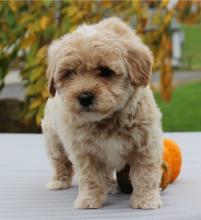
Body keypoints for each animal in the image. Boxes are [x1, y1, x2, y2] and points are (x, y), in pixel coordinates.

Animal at [42, 17, 163, 210]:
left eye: (105, 71)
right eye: (69, 73)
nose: (84, 97)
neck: (107, 120)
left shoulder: (146, 145)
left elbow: (146, 174)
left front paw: (146, 199)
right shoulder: (84, 151)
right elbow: (90, 177)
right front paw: (89, 200)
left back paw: (110, 186)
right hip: (52, 139)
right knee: (60, 161)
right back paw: (59, 181)